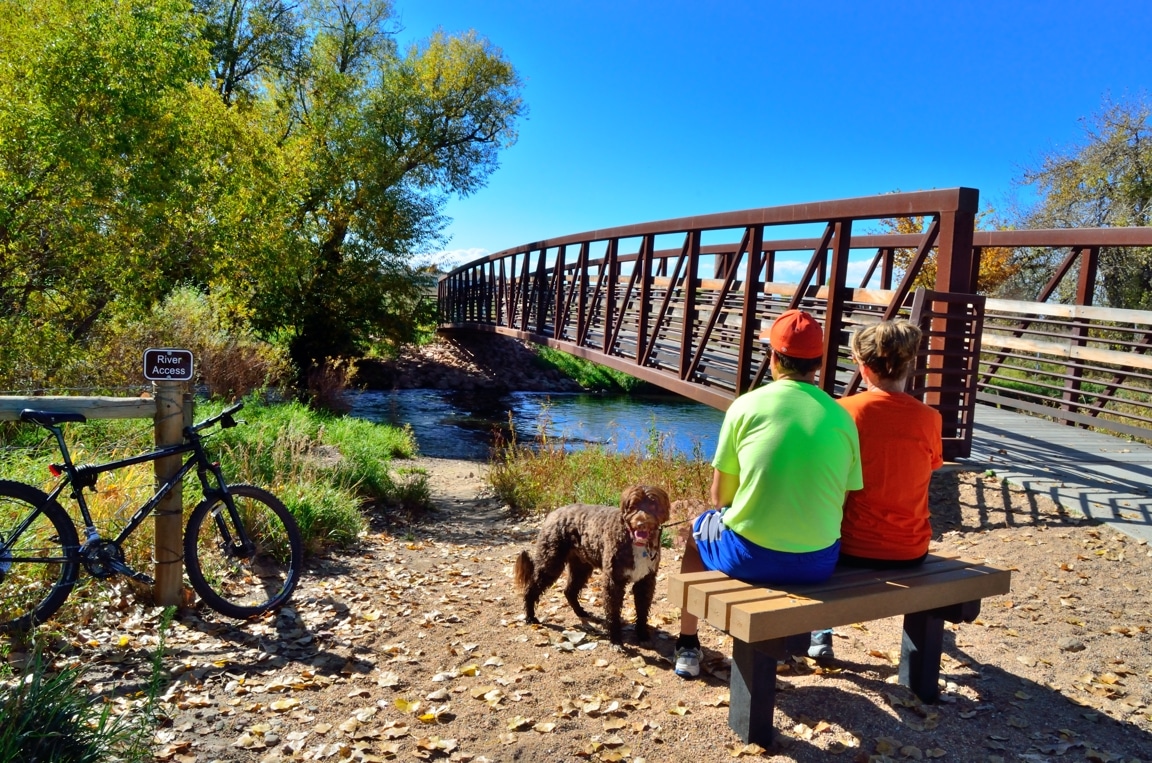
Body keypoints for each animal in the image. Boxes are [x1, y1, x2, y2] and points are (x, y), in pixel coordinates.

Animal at [516, 484, 672, 645]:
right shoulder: (613, 581)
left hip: (581, 567)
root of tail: (554, 512)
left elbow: (642, 609)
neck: (633, 539)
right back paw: (530, 616)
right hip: (551, 562)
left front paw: (642, 633)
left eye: (653, 505)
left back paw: (581, 612)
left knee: (569, 591)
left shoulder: (646, 581)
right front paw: (615, 639)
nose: (641, 524)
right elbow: (613, 611)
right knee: (531, 588)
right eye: (633, 506)